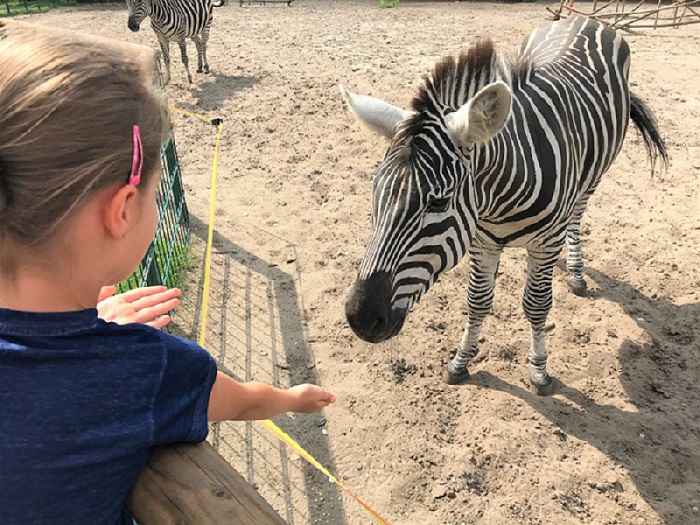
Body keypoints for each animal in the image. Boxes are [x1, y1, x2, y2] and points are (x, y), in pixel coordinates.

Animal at [340, 15, 668, 392]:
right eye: (375, 190)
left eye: (438, 202)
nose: (360, 318)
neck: (498, 202)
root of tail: (583, 19)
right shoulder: (480, 241)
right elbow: (477, 302)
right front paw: (460, 361)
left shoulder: (544, 243)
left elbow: (537, 305)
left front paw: (539, 370)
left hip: (595, 175)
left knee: (576, 215)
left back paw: (574, 270)